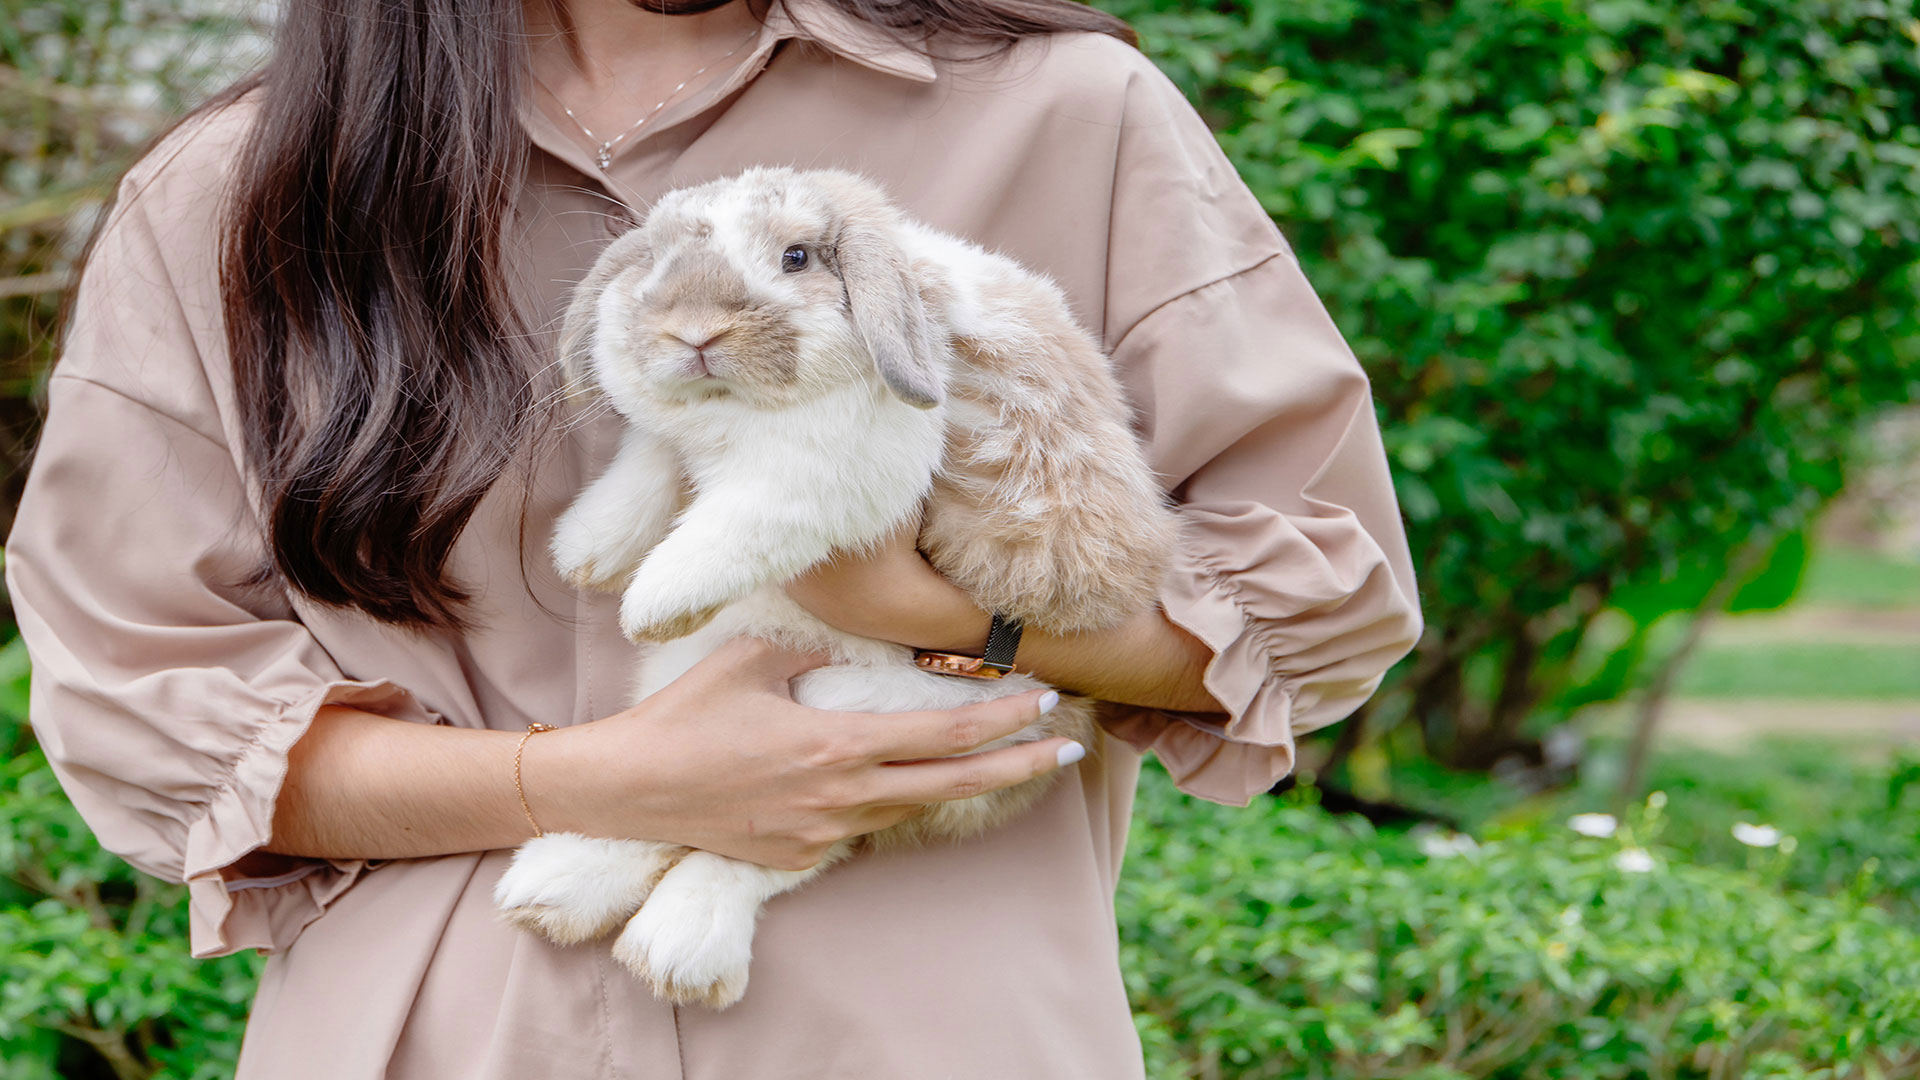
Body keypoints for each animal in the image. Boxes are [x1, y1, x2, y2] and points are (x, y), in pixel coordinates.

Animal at [493, 166, 1178, 1008]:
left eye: (796, 257)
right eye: (654, 258)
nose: (695, 332)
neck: (742, 407)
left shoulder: (839, 465)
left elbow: (753, 510)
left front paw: (654, 600)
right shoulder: (682, 438)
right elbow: (653, 451)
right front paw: (590, 549)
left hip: (869, 723)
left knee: (768, 849)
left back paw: (672, 946)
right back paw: (563, 883)